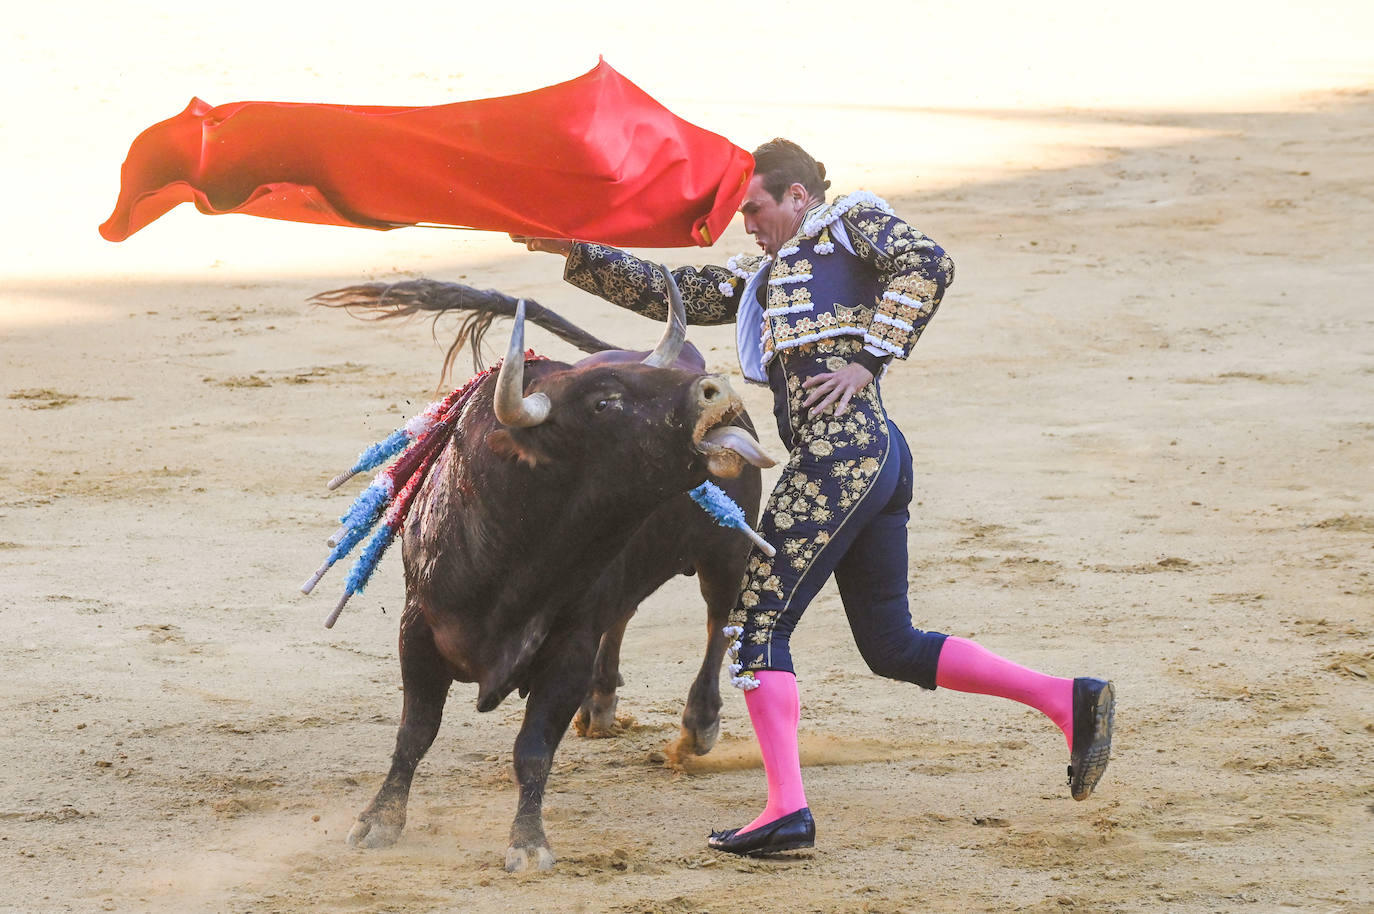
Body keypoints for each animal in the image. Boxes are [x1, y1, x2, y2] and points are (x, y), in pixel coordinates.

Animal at [316, 272, 780, 868]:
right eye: (605, 402)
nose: (715, 390)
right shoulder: (417, 628)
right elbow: (415, 731)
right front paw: (379, 819)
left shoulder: (567, 649)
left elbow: (533, 748)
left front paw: (528, 842)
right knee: (625, 613)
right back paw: (600, 705)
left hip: (726, 551)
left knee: (718, 622)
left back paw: (697, 727)